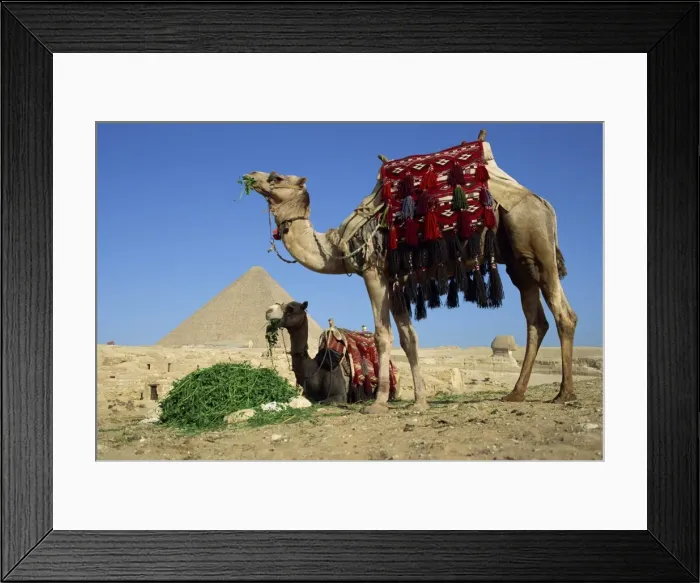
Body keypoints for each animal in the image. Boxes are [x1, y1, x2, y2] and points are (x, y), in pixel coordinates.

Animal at [265, 301, 398, 404]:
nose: (269, 310)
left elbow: (321, 402)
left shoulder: (339, 395)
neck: (312, 369)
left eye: (291, 309)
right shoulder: (307, 394)